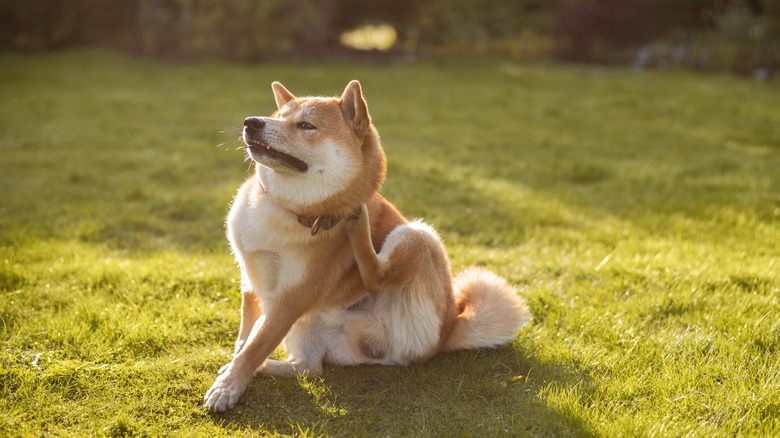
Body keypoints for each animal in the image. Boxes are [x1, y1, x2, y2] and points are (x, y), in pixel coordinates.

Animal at [203, 80, 532, 412]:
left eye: (306, 125)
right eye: (277, 116)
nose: (252, 122)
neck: (284, 209)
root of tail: (448, 330)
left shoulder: (289, 300)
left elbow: (255, 346)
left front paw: (228, 387)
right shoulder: (251, 281)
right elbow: (246, 336)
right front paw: (233, 368)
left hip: (419, 235)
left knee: (376, 277)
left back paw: (358, 224)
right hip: (311, 326)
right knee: (308, 368)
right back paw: (267, 367)